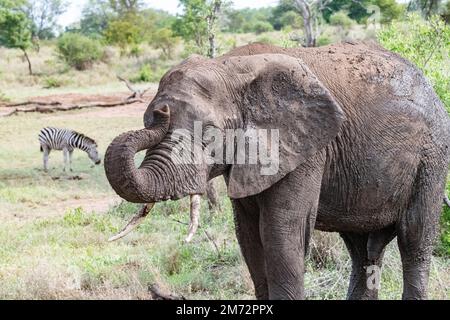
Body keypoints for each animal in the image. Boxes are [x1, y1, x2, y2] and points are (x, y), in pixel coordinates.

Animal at [103, 42, 450, 300]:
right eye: (147, 119)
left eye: (209, 134)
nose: (161, 112)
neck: (229, 66)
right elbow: (248, 236)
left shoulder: (307, 146)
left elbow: (281, 233)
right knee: (362, 251)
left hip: (432, 157)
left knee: (415, 239)